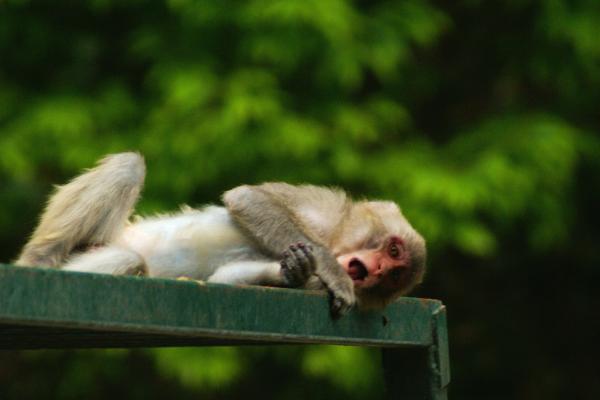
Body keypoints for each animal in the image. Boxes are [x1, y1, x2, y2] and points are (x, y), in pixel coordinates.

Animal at [15, 152, 426, 316]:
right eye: (392, 250)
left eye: (393, 275)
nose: (375, 269)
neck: (338, 239)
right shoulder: (323, 212)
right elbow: (247, 198)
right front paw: (332, 272)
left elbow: (224, 281)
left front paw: (293, 273)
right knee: (130, 169)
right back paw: (37, 261)